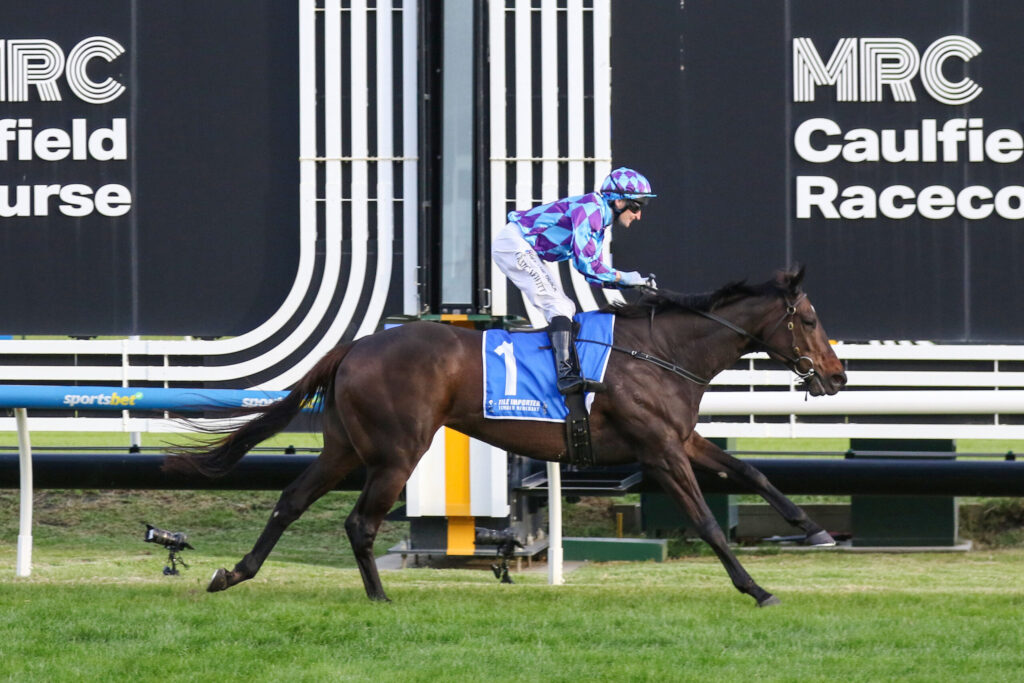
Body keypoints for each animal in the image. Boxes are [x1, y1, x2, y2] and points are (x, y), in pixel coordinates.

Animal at [164, 267, 848, 607]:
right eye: (812, 319)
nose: (838, 376)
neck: (661, 351)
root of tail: (354, 346)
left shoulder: (679, 439)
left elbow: (754, 472)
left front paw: (812, 528)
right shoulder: (658, 451)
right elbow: (705, 521)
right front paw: (757, 589)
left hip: (345, 448)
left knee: (291, 500)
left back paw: (234, 574)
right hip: (396, 452)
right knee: (359, 523)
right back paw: (380, 598)